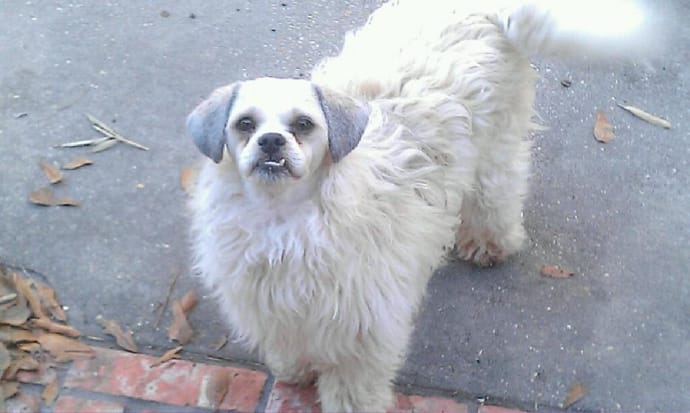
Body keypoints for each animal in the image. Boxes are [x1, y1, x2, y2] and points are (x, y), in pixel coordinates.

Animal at [187, 1, 656, 410]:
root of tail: (488, 9)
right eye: (245, 124)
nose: (270, 142)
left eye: (303, 125)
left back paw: (489, 243)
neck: (286, 223)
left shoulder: (364, 327)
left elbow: (353, 384)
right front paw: (295, 370)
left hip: (495, 152)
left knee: (499, 195)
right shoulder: (272, 308)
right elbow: (288, 344)